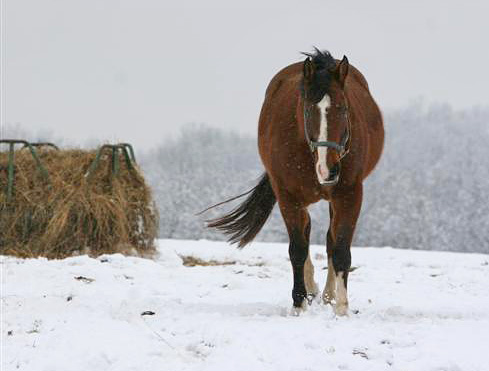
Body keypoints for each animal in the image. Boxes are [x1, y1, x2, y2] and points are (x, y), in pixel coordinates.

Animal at [204, 49, 384, 316]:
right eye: (308, 110)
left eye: (343, 109)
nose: (328, 170)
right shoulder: (288, 197)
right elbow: (298, 249)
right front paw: (299, 304)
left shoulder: (349, 195)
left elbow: (340, 249)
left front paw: (341, 308)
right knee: (306, 233)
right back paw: (311, 289)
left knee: (329, 240)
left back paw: (328, 295)